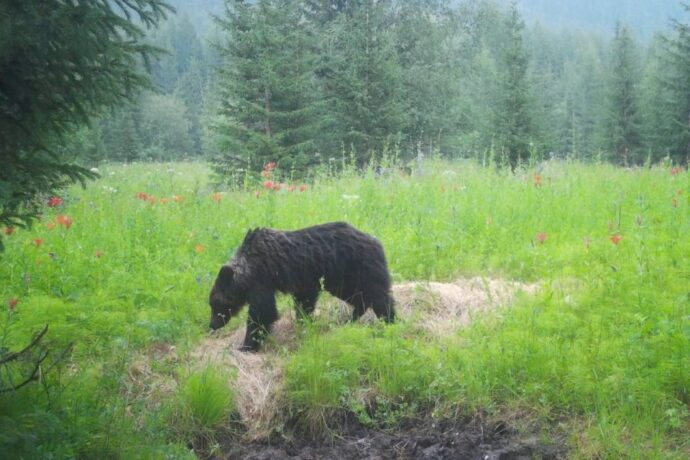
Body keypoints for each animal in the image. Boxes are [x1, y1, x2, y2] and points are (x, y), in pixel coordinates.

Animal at [207, 221, 396, 350]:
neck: (247, 270)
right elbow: (304, 303)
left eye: (215, 304)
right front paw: (304, 323)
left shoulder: (262, 280)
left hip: (358, 268)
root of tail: (376, 240)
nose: (212, 325)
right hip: (341, 280)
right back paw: (348, 319)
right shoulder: (304, 282)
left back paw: (390, 321)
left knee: (379, 296)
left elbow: (262, 312)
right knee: (359, 297)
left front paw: (246, 345)